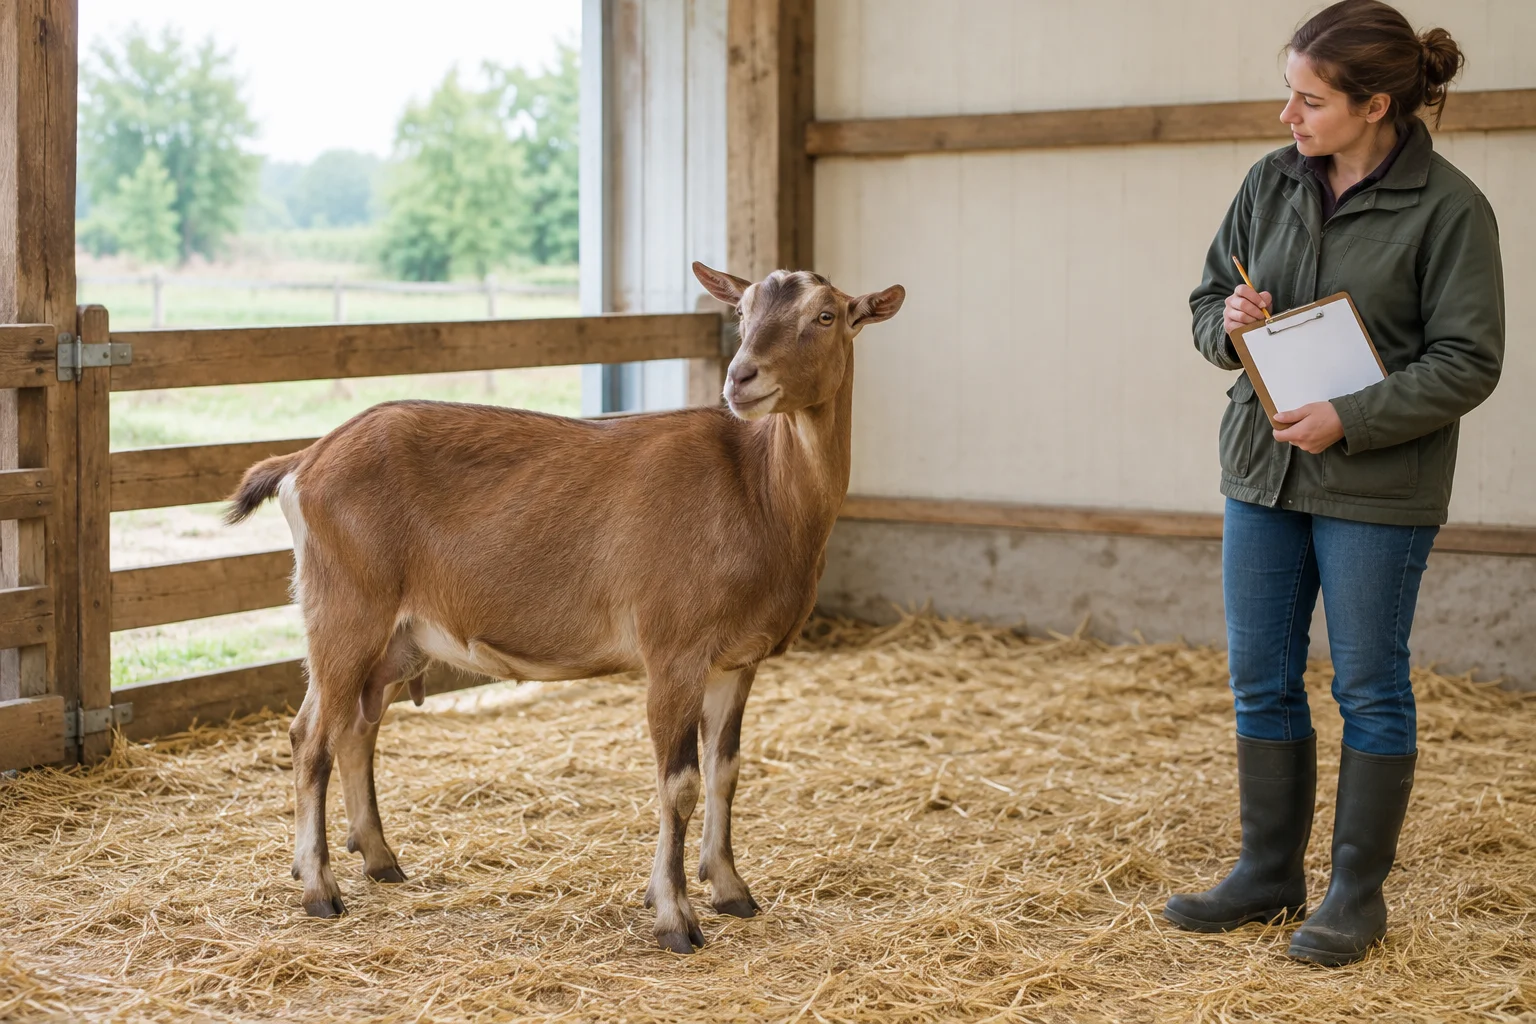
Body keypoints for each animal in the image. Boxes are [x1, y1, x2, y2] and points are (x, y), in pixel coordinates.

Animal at [226, 262, 904, 952]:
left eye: (826, 315)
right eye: (741, 314)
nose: (742, 377)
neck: (759, 490)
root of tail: (306, 461)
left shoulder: (737, 661)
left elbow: (726, 771)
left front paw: (732, 889)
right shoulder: (674, 652)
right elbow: (680, 783)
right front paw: (675, 917)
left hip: (396, 637)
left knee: (357, 729)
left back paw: (380, 859)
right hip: (346, 610)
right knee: (310, 736)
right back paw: (319, 888)